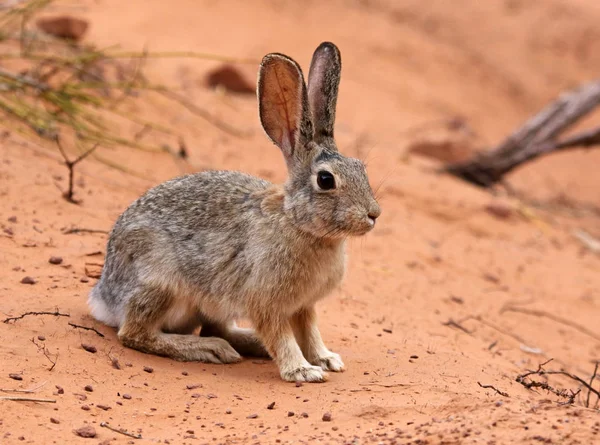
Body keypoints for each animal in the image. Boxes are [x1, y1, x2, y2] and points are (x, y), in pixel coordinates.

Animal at [89, 42, 380, 382]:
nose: (374, 214)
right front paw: (302, 370)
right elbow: (281, 336)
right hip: (161, 284)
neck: (297, 223)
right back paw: (210, 350)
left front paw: (326, 359)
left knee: (216, 328)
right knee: (136, 333)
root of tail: (104, 297)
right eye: (325, 180)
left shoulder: (304, 306)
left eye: (360, 168)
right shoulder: (265, 302)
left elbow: (310, 332)